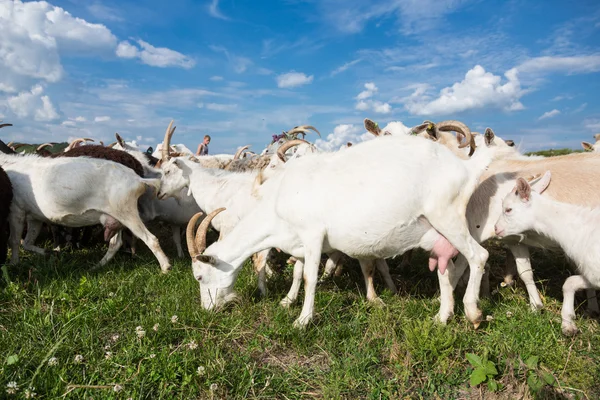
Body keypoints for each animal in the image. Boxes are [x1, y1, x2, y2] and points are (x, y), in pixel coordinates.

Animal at [184, 128, 496, 328]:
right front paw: (287, 301)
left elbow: (309, 277)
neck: (277, 199)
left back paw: (473, 312)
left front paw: (303, 320)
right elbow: (297, 273)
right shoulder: (298, 242)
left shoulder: (312, 234)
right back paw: (442, 317)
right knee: (446, 268)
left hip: (447, 216)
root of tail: (465, 168)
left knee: (478, 256)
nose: (207, 310)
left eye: (199, 276)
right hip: (434, 234)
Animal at [492, 171, 600, 334]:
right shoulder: (591, 274)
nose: (496, 228)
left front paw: (567, 322)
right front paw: (569, 324)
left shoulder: (595, 273)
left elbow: (568, 283)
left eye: (508, 209)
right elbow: (570, 282)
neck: (581, 228)